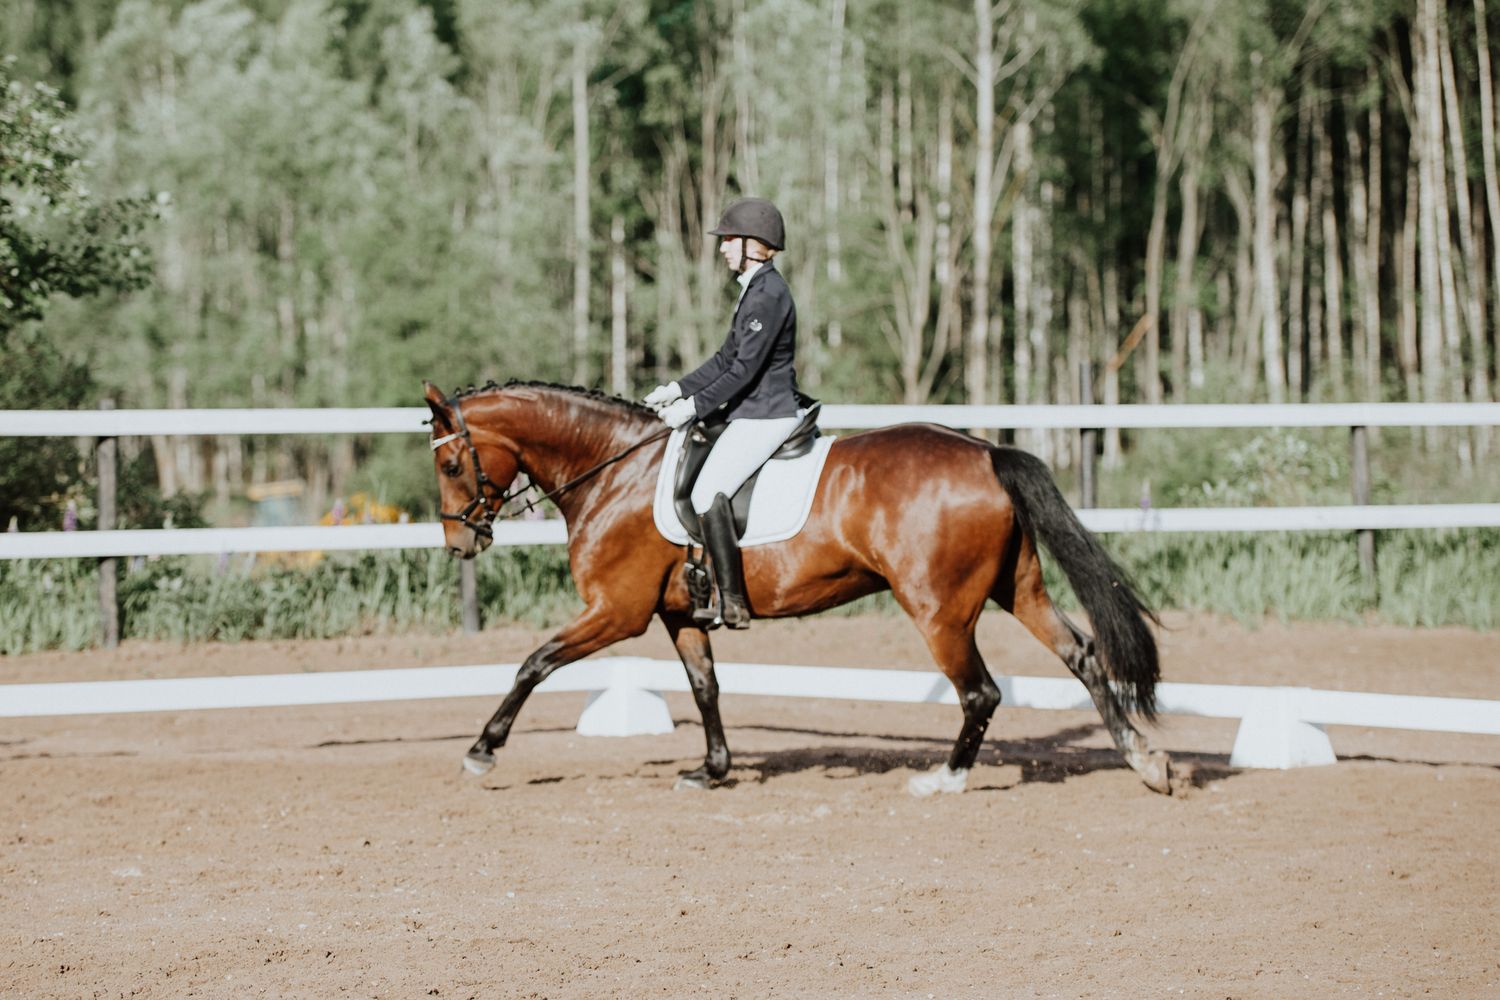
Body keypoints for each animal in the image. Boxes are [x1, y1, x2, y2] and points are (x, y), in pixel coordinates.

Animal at [423, 379, 1171, 796]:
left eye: (454, 464)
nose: (461, 543)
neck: (614, 471)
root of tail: (986, 451)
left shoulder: (616, 612)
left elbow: (534, 663)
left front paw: (481, 752)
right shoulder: (677, 615)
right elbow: (706, 687)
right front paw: (712, 769)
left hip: (939, 610)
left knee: (981, 692)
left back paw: (945, 780)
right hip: (1016, 589)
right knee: (1082, 655)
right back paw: (1146, 762)